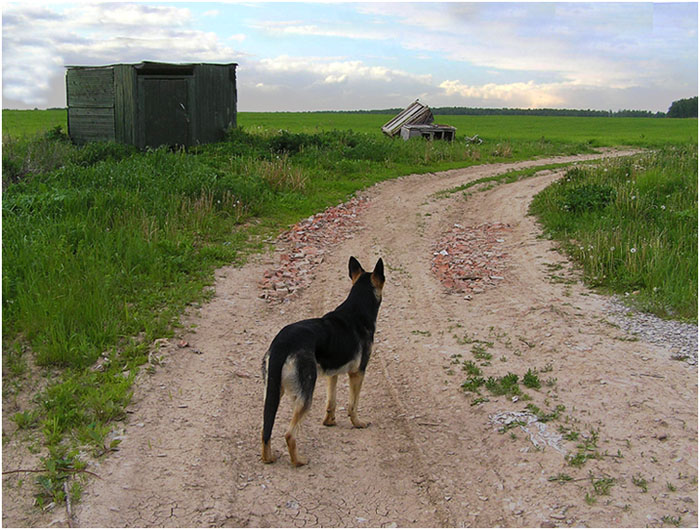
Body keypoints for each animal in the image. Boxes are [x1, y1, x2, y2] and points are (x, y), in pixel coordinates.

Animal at [262, 256, 386, 466]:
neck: (357, 308)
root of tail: (281, 344)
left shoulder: (332, 374)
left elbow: (331, 402)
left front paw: (330, 422)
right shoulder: (358, 373)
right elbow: (353, 405)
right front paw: (358, 423)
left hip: (273, 391)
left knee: (265, 428)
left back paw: (267, 457)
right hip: (305, 393)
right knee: (289, 434)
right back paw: (298, 461)